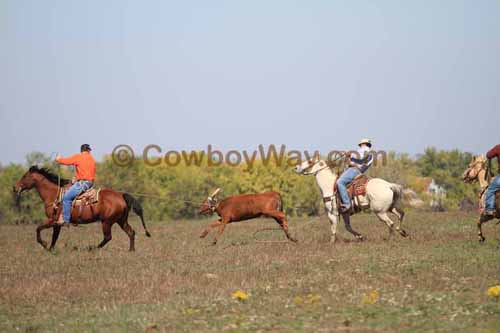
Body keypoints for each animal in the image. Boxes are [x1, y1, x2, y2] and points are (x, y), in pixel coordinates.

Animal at [13, 165, 150, 250]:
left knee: (108, 237)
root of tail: (121, 195)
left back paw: (92, 248)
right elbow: (54, 237)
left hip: (107, 222)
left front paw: (44, 244)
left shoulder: (53, 220)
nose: (15, 187)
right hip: (121, 220)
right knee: (131, 232)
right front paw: (51, 249)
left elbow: (38, 229)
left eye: (24, 176)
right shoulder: (57, 223)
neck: (54, 195)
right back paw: (131, 250)